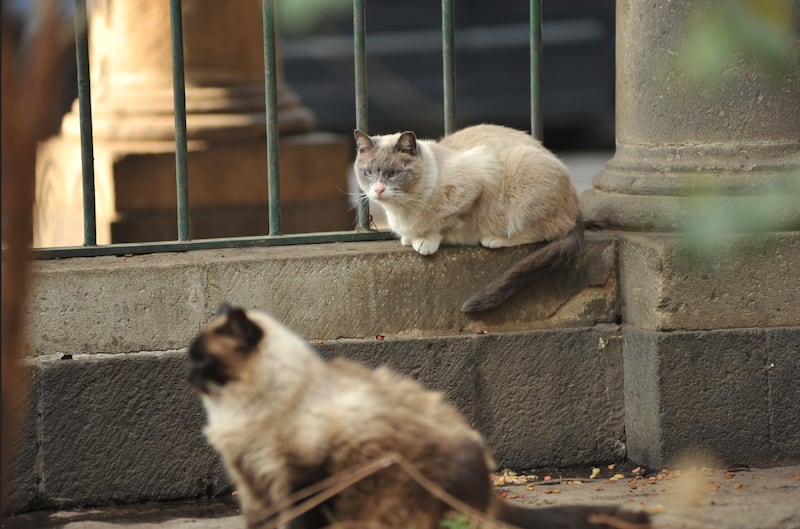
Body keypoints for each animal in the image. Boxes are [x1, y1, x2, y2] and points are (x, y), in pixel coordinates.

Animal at [189, 306, 648, 528]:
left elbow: (298, 521)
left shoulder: (299, 480)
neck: (239, 412)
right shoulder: (253, 482)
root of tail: (487, 488)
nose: (187, 374)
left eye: (202, 359)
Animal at [354, 122, 584, 314]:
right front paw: (409, 239)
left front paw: (425, 242)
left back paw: (494, 239)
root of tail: (576, 205)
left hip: (523, 182)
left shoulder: (474, 185)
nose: (378, 190)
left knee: (543, 231)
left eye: (393, 173)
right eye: (368, 173)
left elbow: (442, 224)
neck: (401, 207)